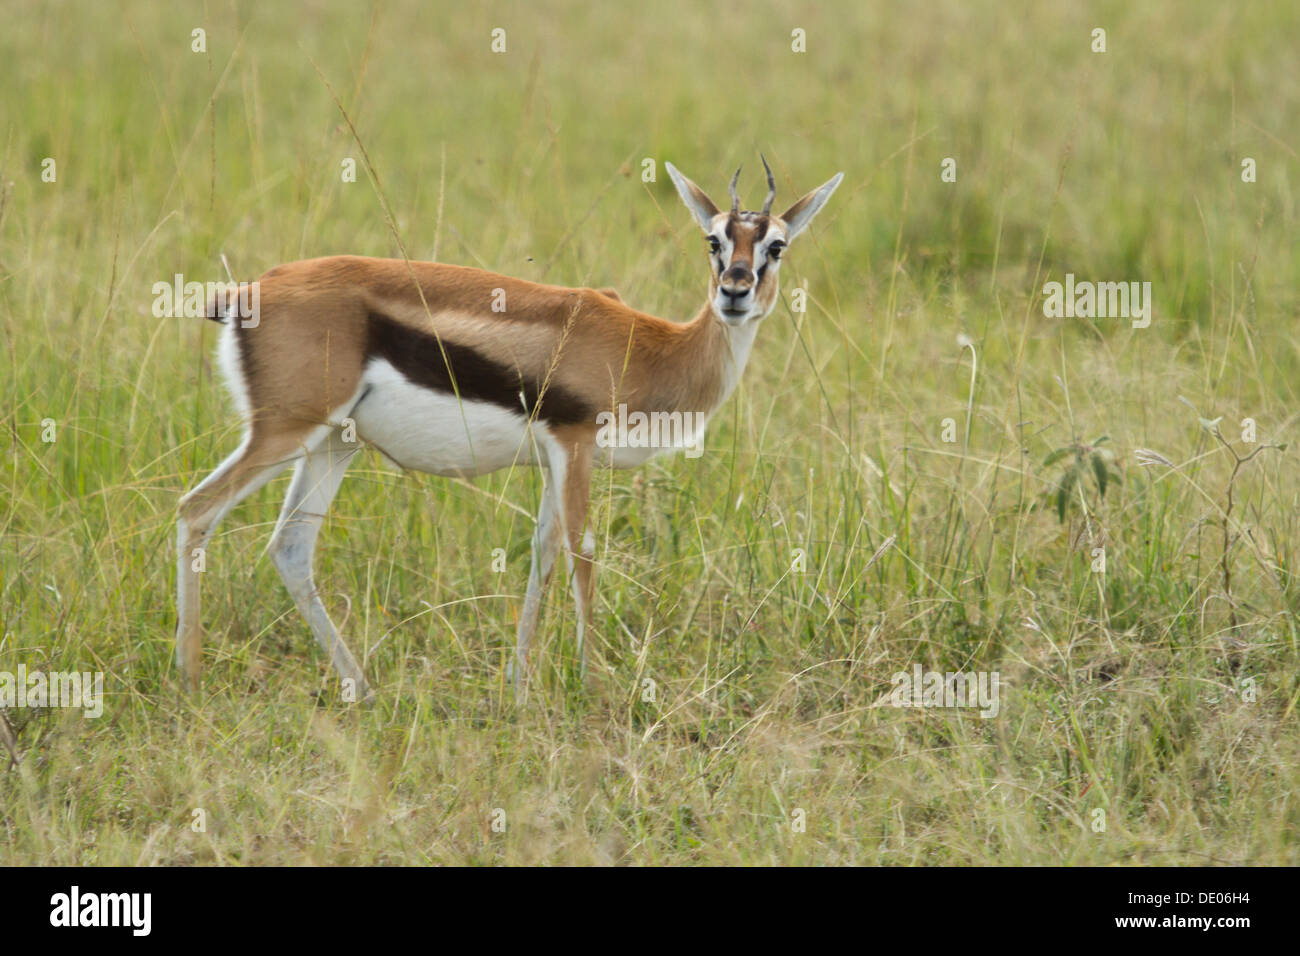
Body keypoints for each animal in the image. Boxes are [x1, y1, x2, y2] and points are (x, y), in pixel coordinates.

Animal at [175, 157, 843, 699]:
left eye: (776, 246)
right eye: (713, 239)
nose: (734, 291)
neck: (652, 348)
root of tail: (247, 291)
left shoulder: (554, 458)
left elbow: (542, 554)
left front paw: (520, 689)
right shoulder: (575, 445)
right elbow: (582, 552)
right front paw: (593, 689)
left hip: (333, 445)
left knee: (290, 548)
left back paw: (362, 689)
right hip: (283, 433)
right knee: (195, 510)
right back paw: (191, 678)